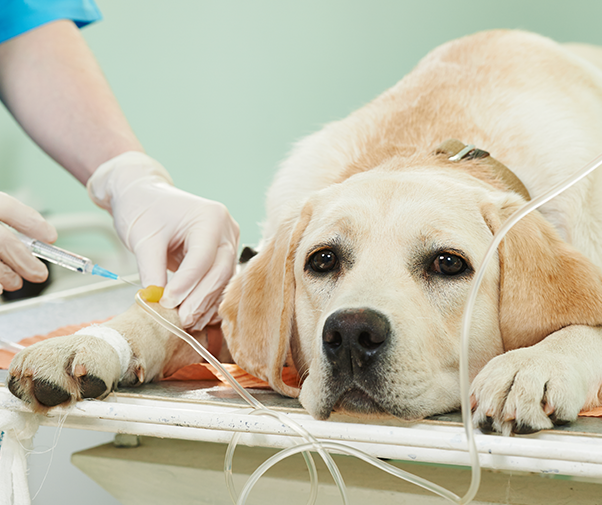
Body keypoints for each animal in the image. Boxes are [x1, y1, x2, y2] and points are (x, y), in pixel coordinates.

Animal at [7, 29, 600, 436]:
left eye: (449, 263)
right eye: (323, 260)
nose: (352, 334)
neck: (431, 144)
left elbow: (581, 326)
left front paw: (532, 364)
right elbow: (169, 315)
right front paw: (88, 340)